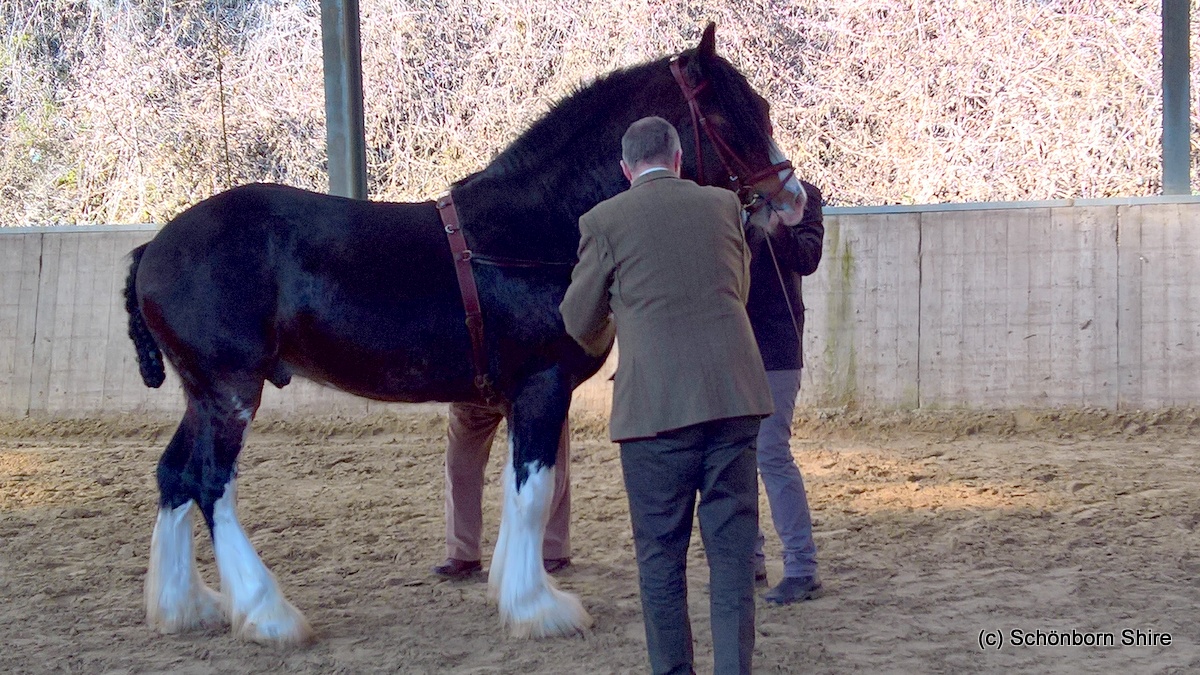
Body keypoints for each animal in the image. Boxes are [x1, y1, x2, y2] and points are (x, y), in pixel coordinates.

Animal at [124, 23, 806, 643]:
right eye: (735, 113)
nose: (793, 198)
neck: (533, 230)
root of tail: (154, 248)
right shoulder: (540, 385)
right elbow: (533, 492)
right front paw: (539, 610)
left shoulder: (515, 396)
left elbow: (516, 488)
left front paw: (516, 590)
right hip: (230, 393)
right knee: (211, 485)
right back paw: (267, 615)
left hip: (204, 396)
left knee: (174, 476)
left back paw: (188, 608)